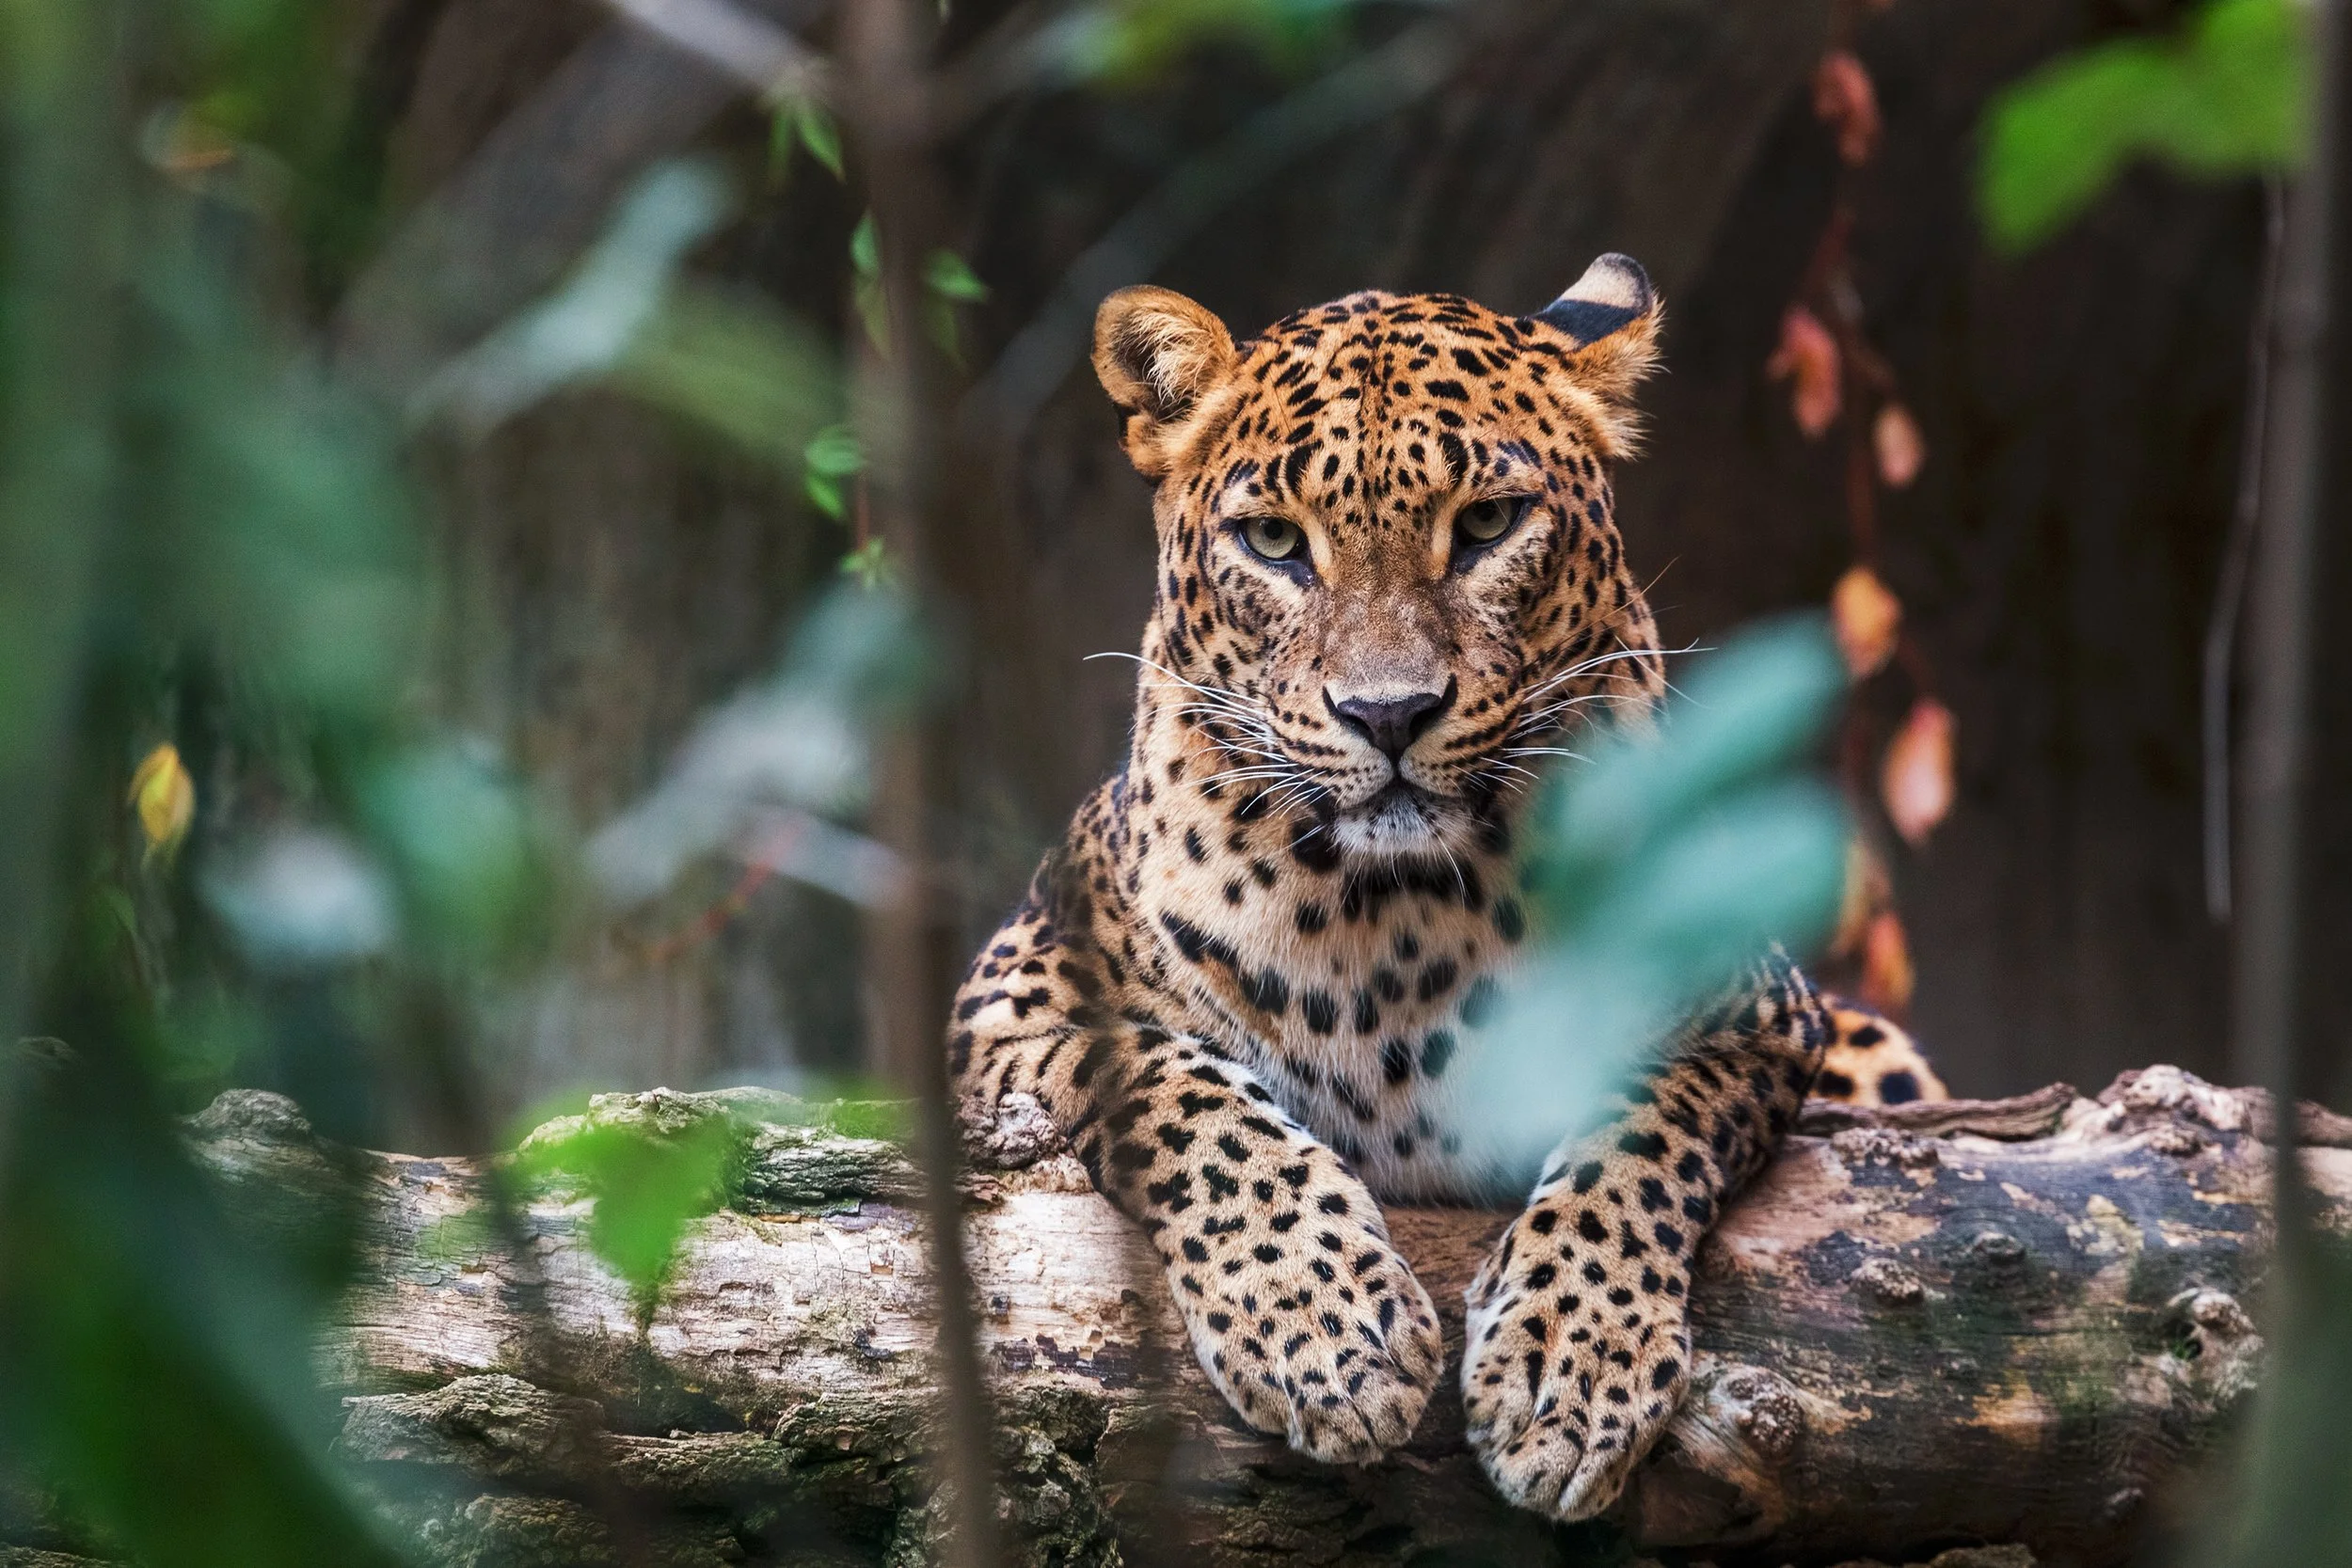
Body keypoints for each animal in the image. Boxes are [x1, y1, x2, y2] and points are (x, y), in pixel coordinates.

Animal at [948, 254, 1937, 1523]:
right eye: (1273, 540)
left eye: (1488, 524)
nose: (1389, 713)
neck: (1395, 914)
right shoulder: (1009, 1004)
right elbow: (1189, 1098)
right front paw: (1323, 1331)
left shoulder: (1754, 1011)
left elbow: (1635, 1133)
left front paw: (1569, 1367)